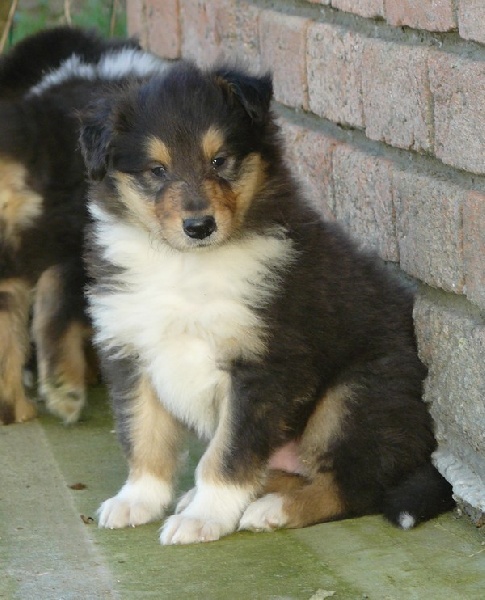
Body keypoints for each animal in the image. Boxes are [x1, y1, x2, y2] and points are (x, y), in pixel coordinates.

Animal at [80, 61, 455, 545]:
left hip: (354, 398)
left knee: (355, 485)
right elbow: (144, 432)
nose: (199, 226)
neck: (186, 266)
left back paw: (273, 509)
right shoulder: (131, 349)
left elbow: (229, 452)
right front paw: (138, 499)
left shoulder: (263, 364)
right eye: (157, 170)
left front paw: (204, 518)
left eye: (220, 160)